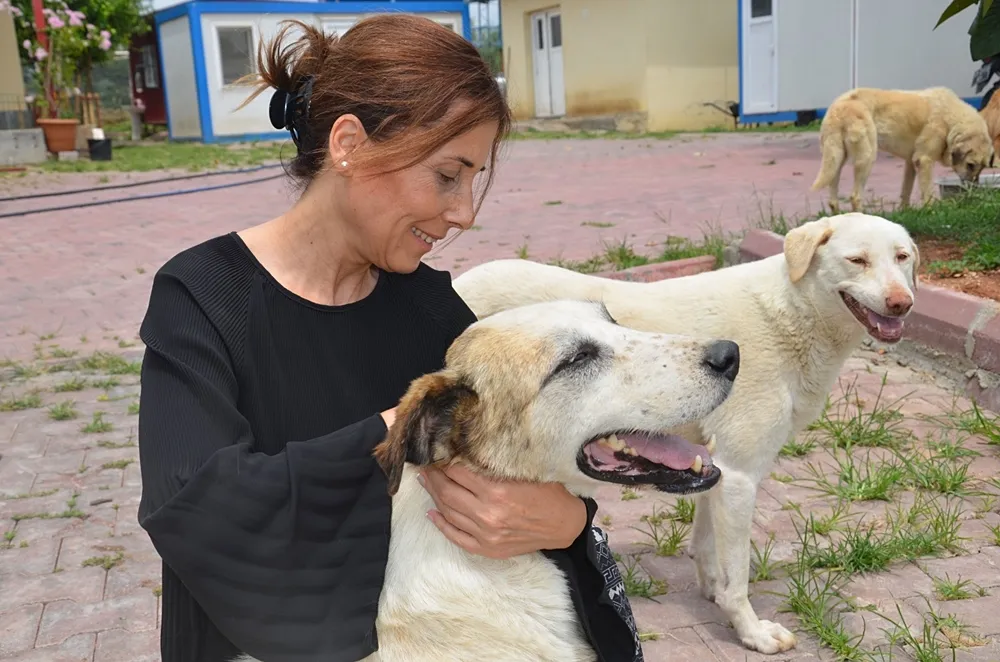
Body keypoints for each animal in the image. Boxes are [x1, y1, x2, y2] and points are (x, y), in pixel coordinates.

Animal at [454, 214, 920, 660]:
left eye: (903, 257)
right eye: (857, 260)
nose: (903, 303)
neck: (791, 311)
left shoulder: (715, 468)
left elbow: (708, 543)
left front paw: (712, 588)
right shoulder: (740, 474)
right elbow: (738, 576)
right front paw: (751, 632)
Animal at [812, 85, 992, 210]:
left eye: (982, 168)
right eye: (970, 165)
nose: (973, 191)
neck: (952, 120)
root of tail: (840, 107)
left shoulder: (911, 162)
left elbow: (906, 190)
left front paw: (905, 213)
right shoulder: (924, 160)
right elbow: (927, 192)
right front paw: (931, 211)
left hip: (836, 160)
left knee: (833, 201)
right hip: (867, 159)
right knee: (855, 197)